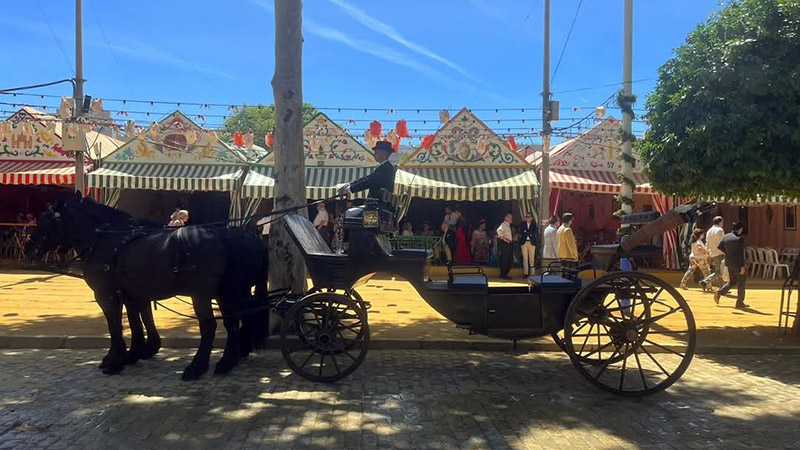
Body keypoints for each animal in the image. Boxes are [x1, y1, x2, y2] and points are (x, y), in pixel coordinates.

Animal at [26, 192, 270, 380]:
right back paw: (229, 359)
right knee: (235, 320)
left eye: (45, 219)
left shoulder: (107, 294)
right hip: (227, 292)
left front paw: (115, 361)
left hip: (203, 294)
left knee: (211, 325)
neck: (105, 240)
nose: (30, 245)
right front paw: (139, 351)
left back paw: (197, 367)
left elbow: (115, 325)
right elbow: (140, 320)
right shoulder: (134, 293)